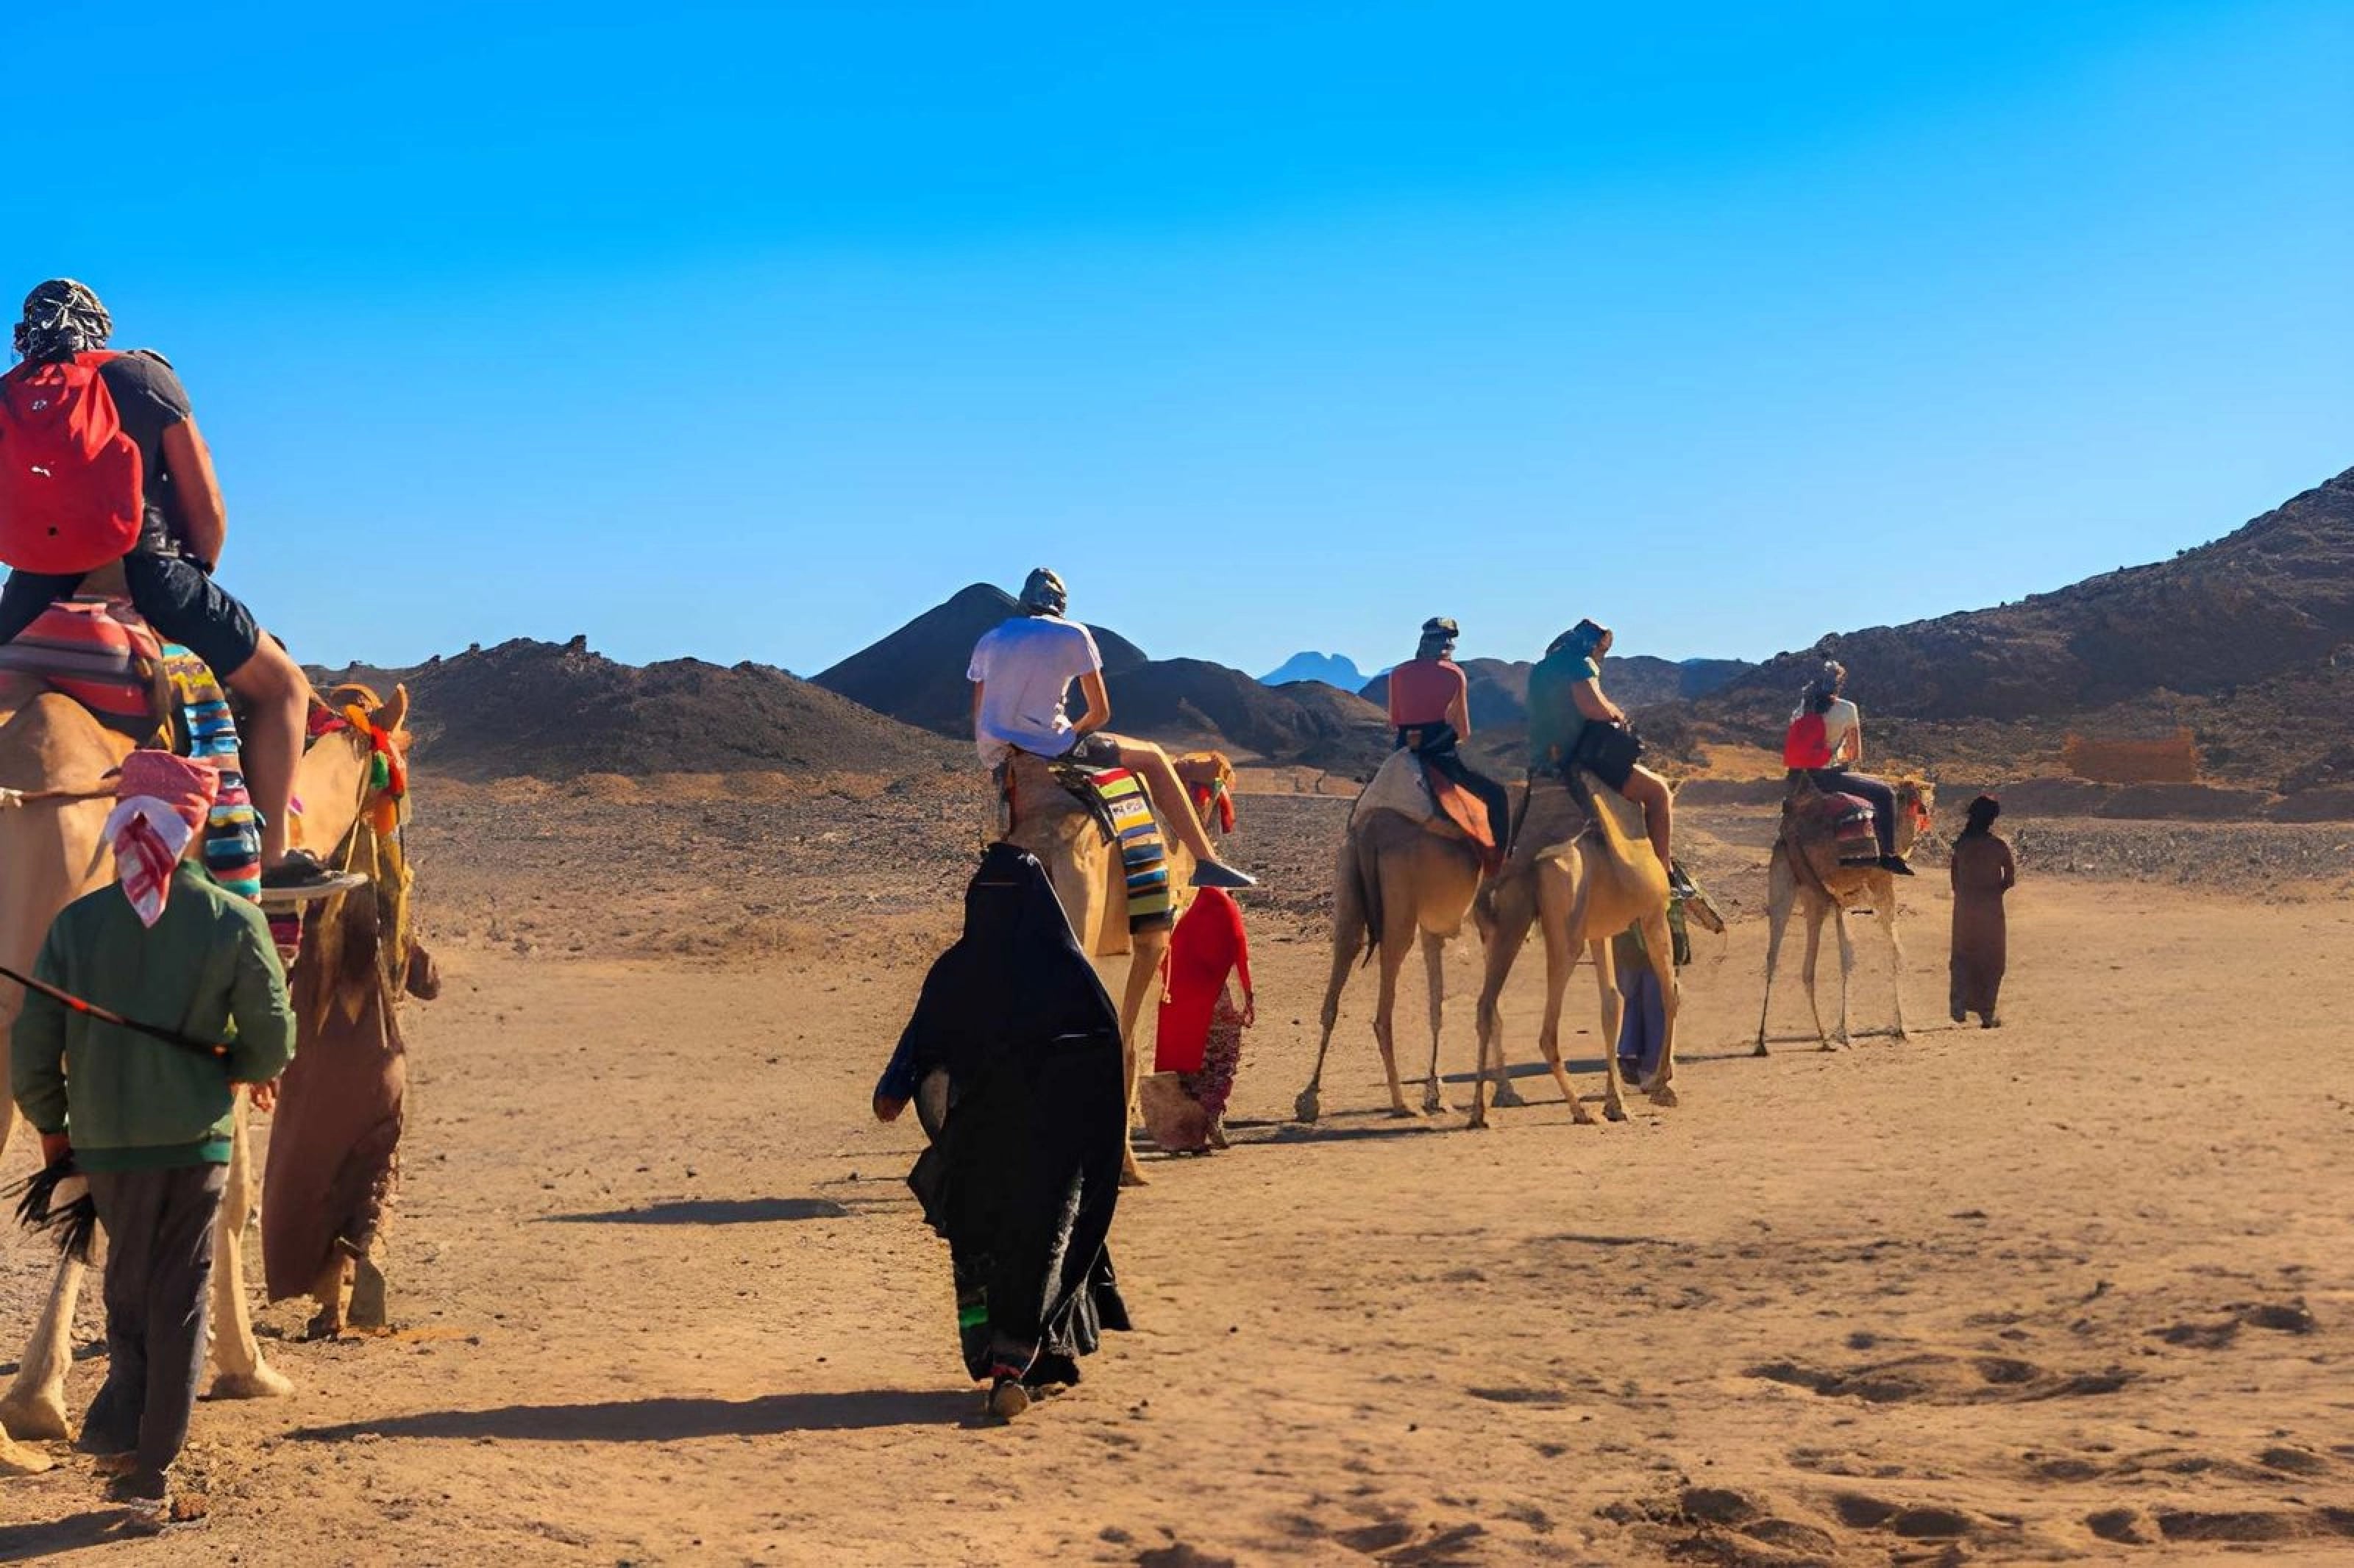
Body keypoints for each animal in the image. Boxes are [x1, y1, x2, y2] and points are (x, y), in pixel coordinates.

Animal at [1295, 752, 1486, 1123]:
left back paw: (1309, 1097)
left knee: (1335, 987)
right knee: (1383, 1014)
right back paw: (1400, 1103)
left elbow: (1436, 1005)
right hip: (1399, 915)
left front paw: (1436, 1091)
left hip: (1349, 891)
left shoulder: (1432, 929)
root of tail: (1371, 829)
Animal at [1466, 771, 1680, 1130]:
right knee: (1546, 1030)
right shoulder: (1653, 914)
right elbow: (1669, 993)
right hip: (1565, 936)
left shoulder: (1599, 932)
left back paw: (1479, 1113)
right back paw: (1579, 1110)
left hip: (1507, 926)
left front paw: (1616, 1103)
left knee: (1486, 1005)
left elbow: (1612, 1004)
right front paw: (1661, 1085)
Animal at [1753, 773, 1936, 1053]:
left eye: (1930, 796)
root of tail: (1791, 832)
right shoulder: (1875, 884)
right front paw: (1896, 1029)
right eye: (1917, 797)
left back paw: (1787, 1041)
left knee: (1785, 961)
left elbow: (1863, 954)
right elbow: (1881, 952)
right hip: (1817, 887)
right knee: (1800, 959)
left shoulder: (1846, 896)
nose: (1927, 809)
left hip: (1799, 887)